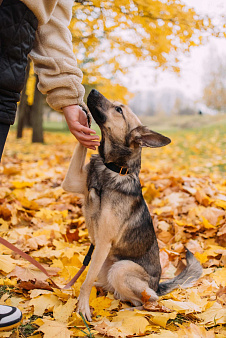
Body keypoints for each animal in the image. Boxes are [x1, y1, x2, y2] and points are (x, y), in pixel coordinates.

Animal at [61, 88, 202, 320]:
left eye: (119, 110)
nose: (92, 90)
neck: (114, 169)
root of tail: (157, 286)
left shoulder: (103, 242)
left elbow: (86, 280)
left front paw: (82, 306)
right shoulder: (72, 181)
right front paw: (83, 119)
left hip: (120, 268)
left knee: (147, 302)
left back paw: (126, 311)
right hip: (106, 265)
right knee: (113, 288)